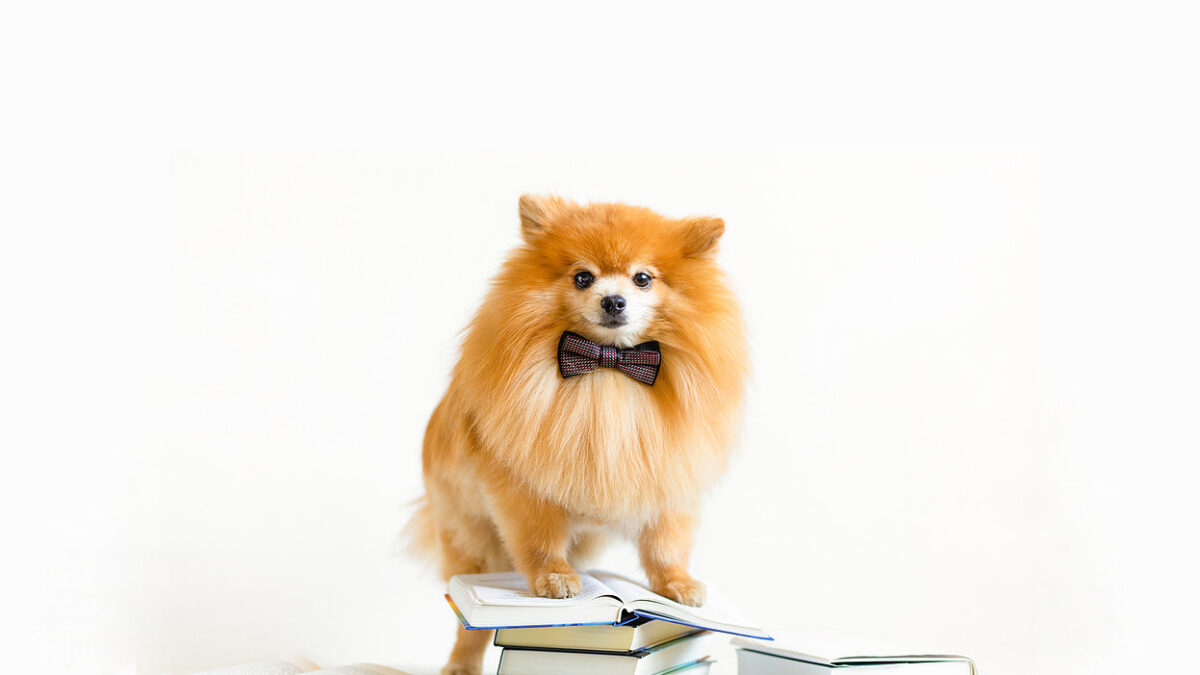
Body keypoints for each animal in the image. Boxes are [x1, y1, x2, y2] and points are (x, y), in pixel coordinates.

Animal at [412, 194, 748, 672]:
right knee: (466, 618)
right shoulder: (525, 490)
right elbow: (539, 541)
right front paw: (554, 577)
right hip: (468, 534)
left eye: (642, 279)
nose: (613, 301)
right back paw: (461, 662)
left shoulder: (669, 472)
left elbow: (666, 544)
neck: (607, 367)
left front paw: (677, 584)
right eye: (583, 277)